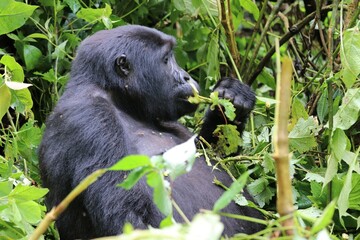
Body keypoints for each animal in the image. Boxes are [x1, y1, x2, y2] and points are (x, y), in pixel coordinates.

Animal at [39, 24, 262, 238]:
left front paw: (233, 96)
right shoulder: (91, 117)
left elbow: (213, 152)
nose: (186, 77)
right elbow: (128, 213)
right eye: (166, 60)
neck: (119, 98)